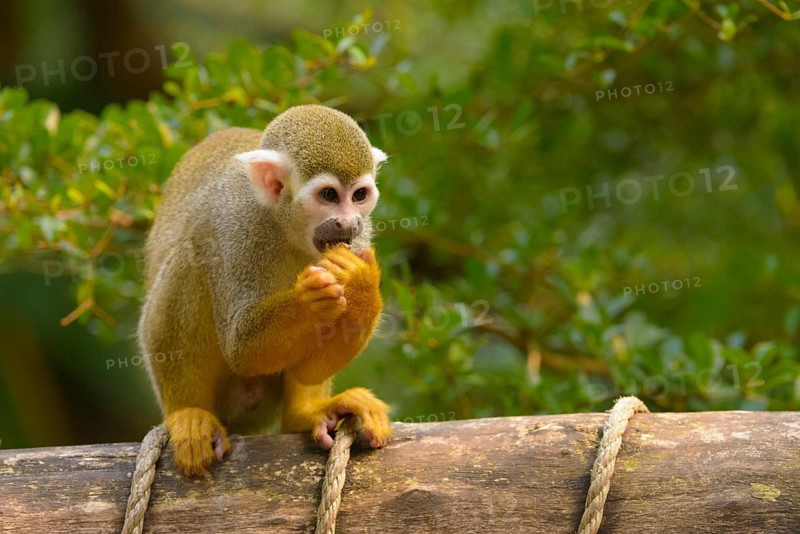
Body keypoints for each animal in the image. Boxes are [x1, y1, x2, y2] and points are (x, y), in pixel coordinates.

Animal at [137, 105, 391, 477]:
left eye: (359, 195)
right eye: (329, 195)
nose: (347, 222)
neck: (287, 227)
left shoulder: (359, 238)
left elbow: (310, 368)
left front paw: (361, 284)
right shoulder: (237, 225)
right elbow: (242, 348)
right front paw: (309, 300)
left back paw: (305, 413)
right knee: (190, 258)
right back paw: (187, 413)